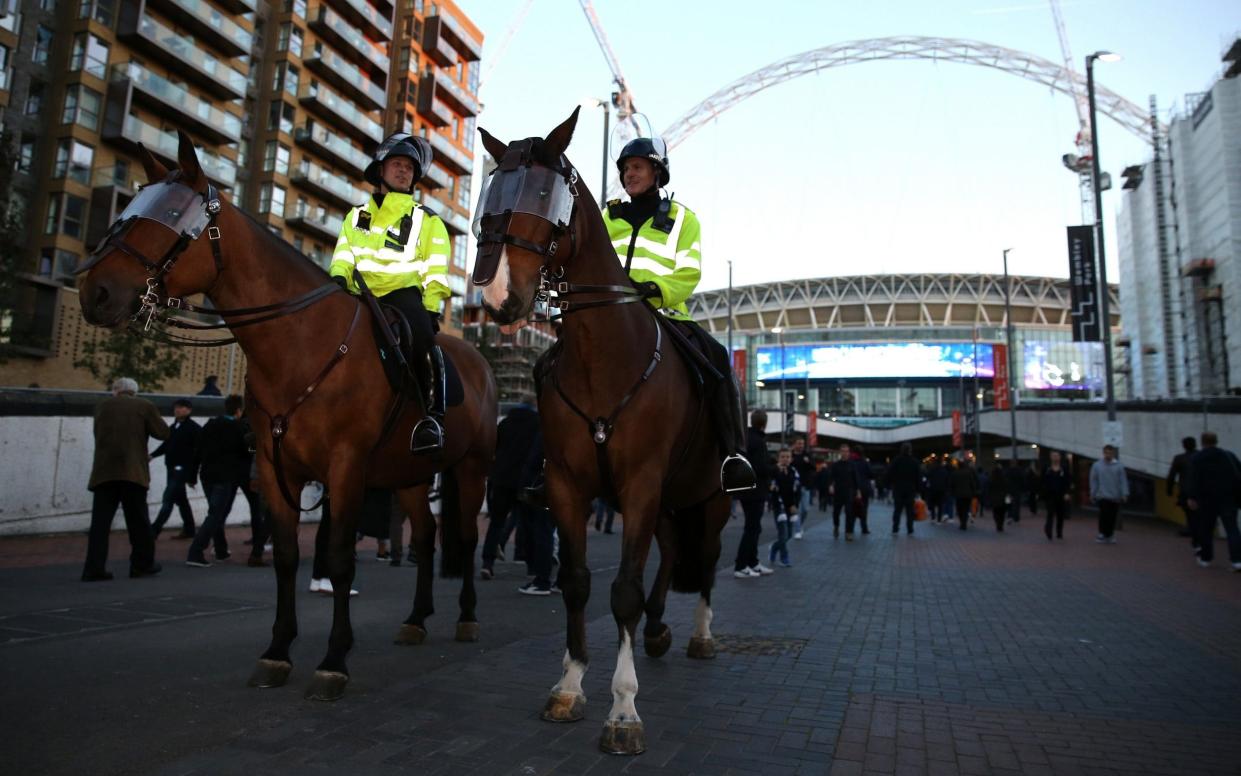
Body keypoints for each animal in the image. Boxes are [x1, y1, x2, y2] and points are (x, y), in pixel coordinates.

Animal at [73, 131, 493, 700]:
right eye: (128, 213)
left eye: (168, 220)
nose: (94, 292)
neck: (301, 342)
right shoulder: (276, 471)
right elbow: (288, 556)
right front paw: (277, 651)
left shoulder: (345, 468)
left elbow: (338, 558)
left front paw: (334, 660)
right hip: (407, 473)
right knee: (427, 537)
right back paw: (416, 619)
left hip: (471, 467)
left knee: (466, 536)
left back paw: (467, 617)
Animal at [471, 109, 724, 749]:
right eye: (492, 191)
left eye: (547, 195)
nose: (498, 293)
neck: (603, 358)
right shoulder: (568, 485)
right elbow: (579, 581)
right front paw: (569, 686)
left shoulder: (639, 484)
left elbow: (623, 591)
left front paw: (624, 710)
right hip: (668, 499)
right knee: (671, 549)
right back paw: (659, 630)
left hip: (710, 495)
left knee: (707, 557)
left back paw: (700, 634)